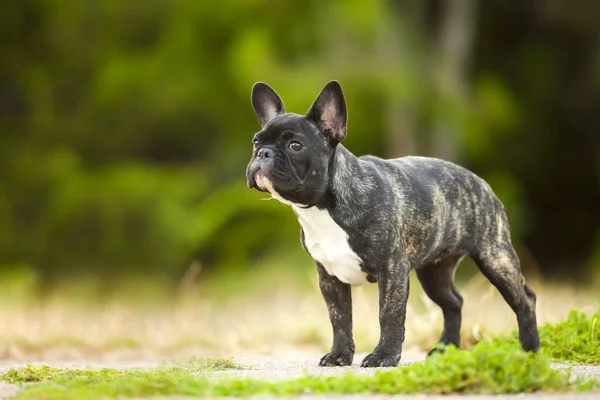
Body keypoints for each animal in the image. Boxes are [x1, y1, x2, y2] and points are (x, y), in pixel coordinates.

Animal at [244, 79, 540, 368]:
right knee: (453, 302)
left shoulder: (393, 270)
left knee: (525, 300)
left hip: (495, 258)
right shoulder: (329, 277)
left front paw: (384, 356)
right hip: (434, 274)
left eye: (295, 145)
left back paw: (530, 349)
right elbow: (339, 319)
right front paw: (339, 356)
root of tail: (480, 182)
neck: (325, 206)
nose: (264, 153)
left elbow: (389, 315)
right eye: (256, 142)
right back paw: (445, 349)